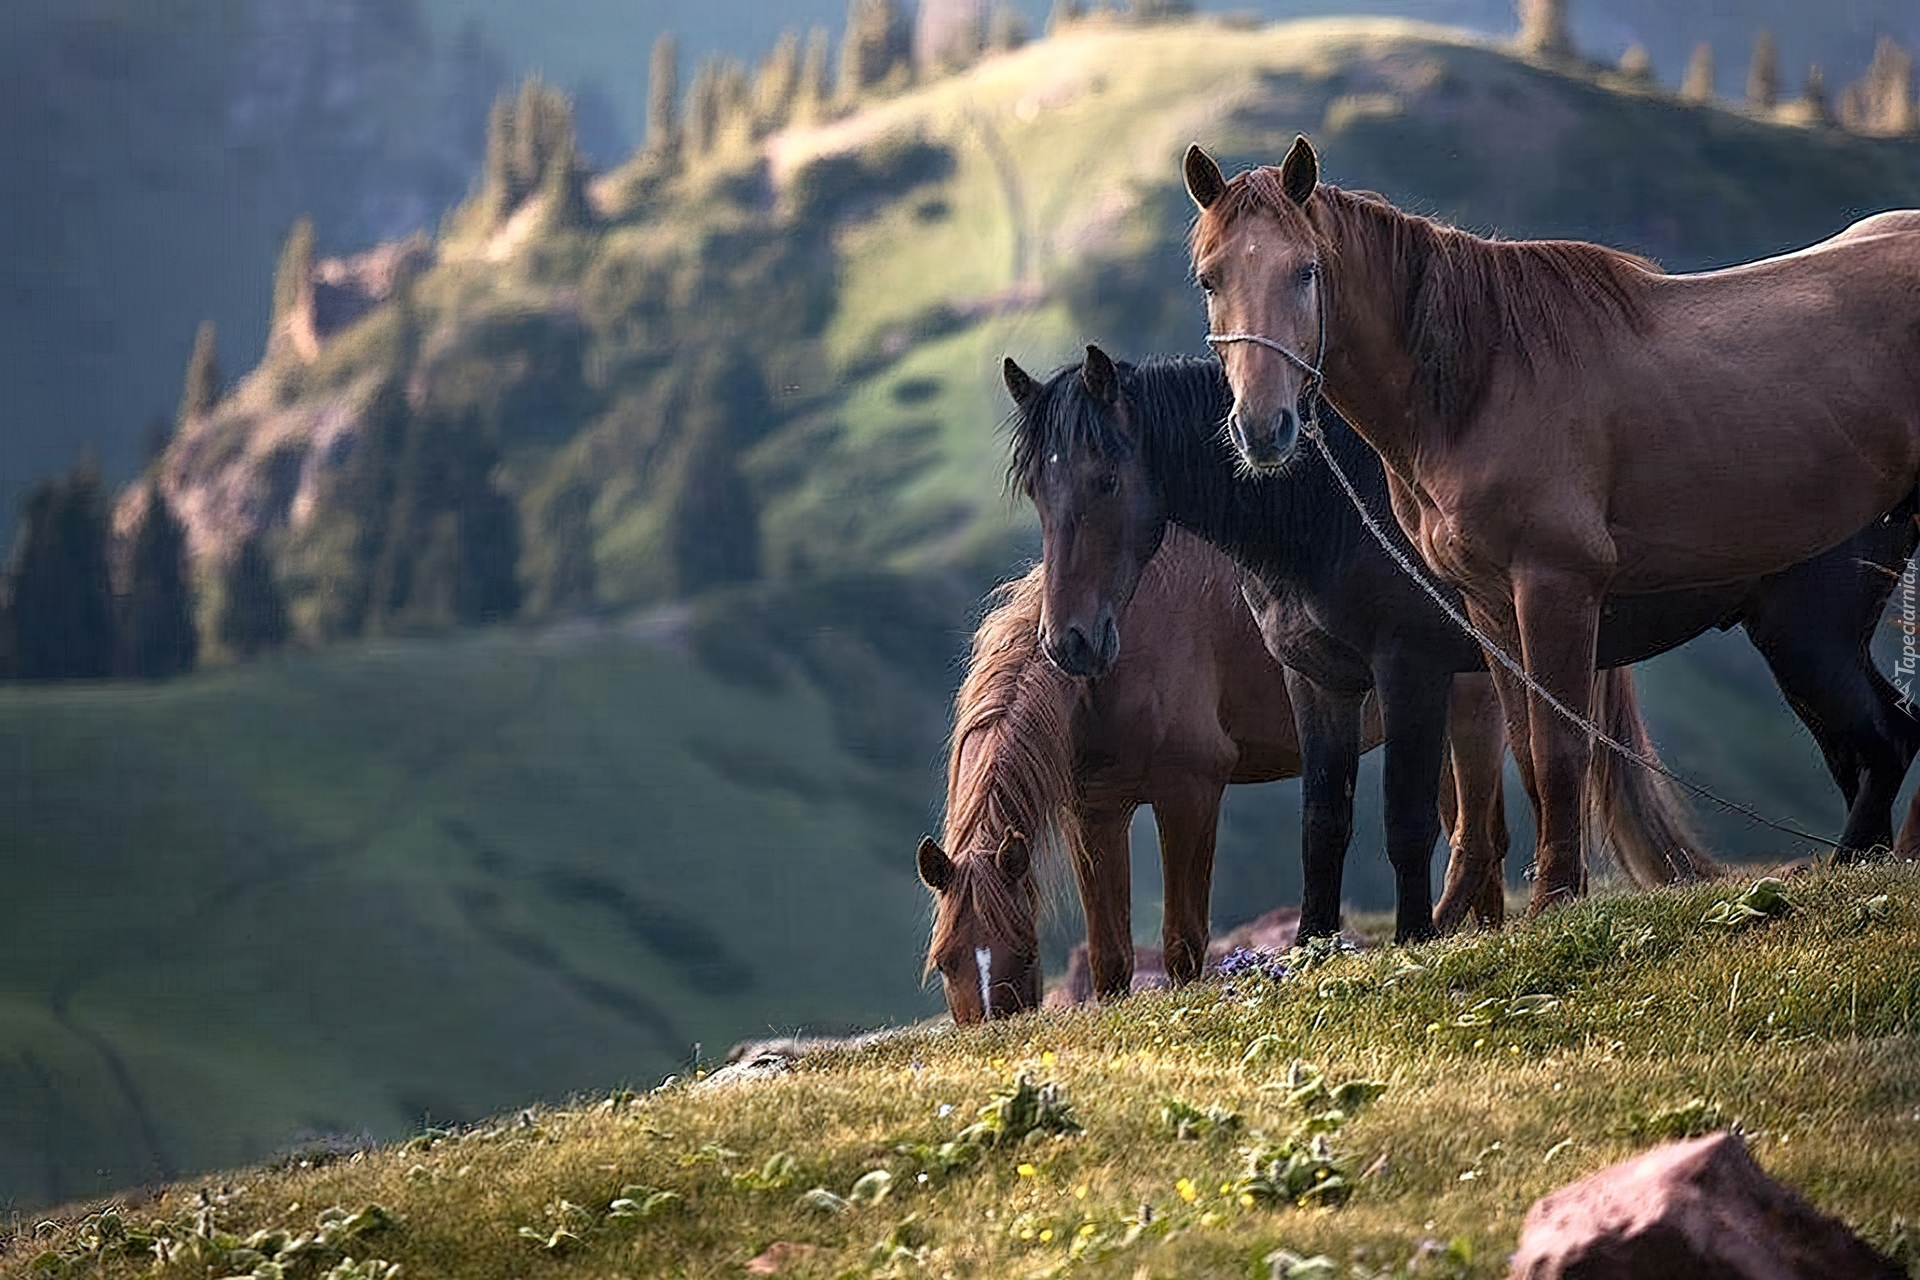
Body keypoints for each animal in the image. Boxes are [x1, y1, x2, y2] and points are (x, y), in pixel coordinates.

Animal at [921, 525, 1520, 1028]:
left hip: (1470, 704)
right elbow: (1110, 955)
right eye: (946, 961)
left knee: (1476, 842)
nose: (989, 1037)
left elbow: (1183, 944)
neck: (1114, 660)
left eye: (1025, 953)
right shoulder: (1098, 812)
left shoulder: (1189, 794)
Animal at [1006, 345, 1920, 948]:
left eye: (1106, 480)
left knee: (1886, 741)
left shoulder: (1410, 672)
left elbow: (1406, 816)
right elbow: (1323, 819)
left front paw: (1414, 938)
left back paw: (1850, 869)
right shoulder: (1318, 683)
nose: (1072, 642)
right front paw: (1310, 947)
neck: (1330, 514)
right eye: (1038, 490)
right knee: (1868, 751)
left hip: (1808, 639)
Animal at [1182, 140, 1920, 917]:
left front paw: (1556, 897)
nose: (1263, 428)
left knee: (1885, 740)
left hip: (1807, 633)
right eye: (1210, 280)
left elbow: (1563, 749)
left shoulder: (1555, 587)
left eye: (1307, 271)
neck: (1483, 383)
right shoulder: (1488, 606)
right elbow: (1532, 756)